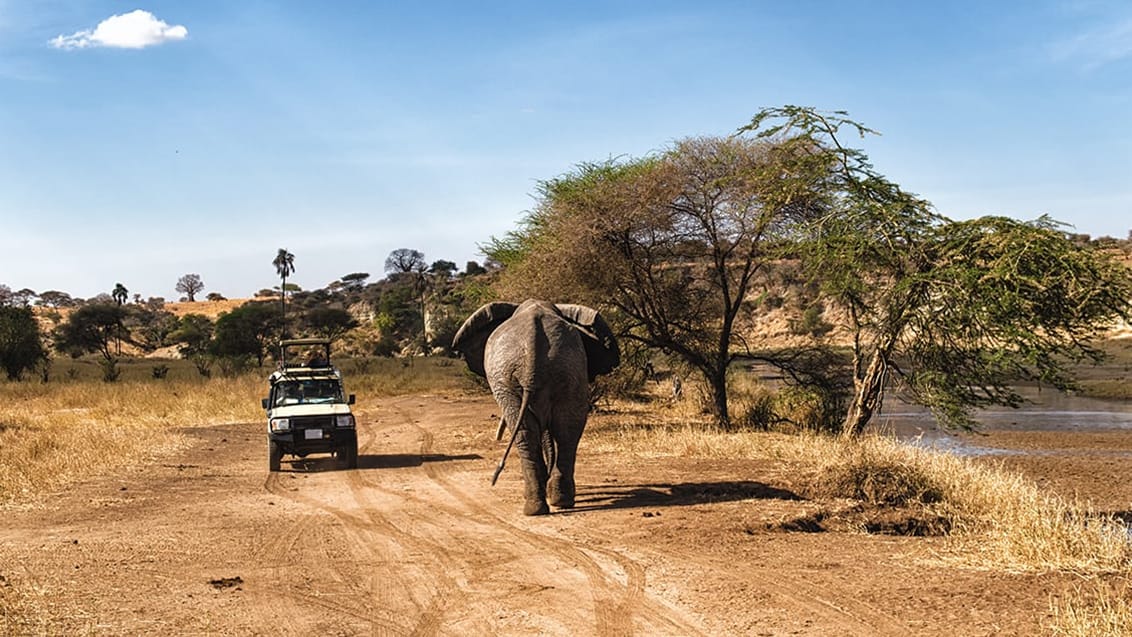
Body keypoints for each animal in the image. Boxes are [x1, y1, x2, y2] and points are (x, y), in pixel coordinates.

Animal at [452, 300, 620, 515]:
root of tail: (534, 343)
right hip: (561, 371)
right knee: (560, 430)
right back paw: (553, 503)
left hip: (518, 377)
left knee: (540, 431)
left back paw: (542, 504)